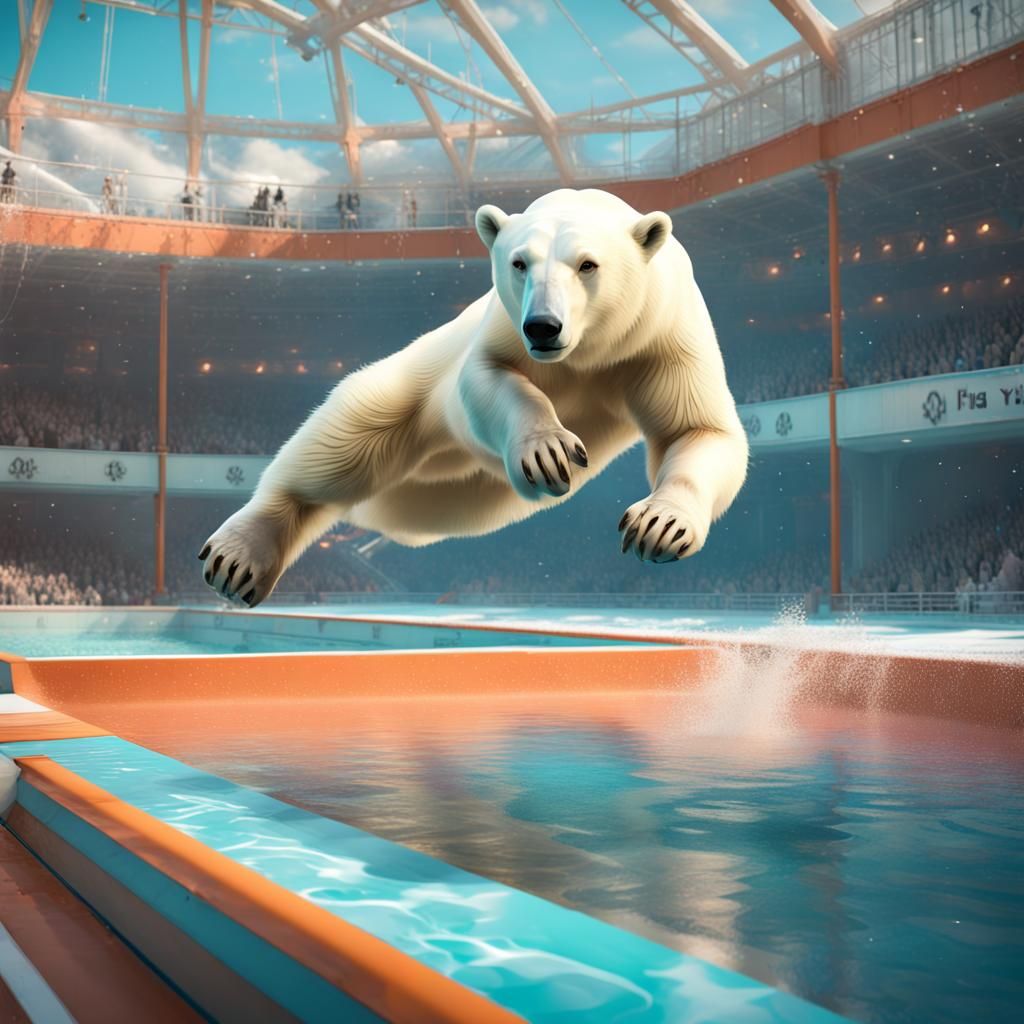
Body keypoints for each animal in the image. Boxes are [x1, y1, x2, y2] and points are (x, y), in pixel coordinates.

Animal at [199, 188, 749, 605]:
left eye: (588, 265)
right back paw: (239, 554)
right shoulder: (500, 327)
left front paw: (660, 525)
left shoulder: (659, 334)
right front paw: (549, 450)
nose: (543, 326)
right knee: (345, 437)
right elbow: (484, 379)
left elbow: (698, 429)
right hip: (414, 376)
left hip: (460, 496)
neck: (590, 349)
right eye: (519, 263)